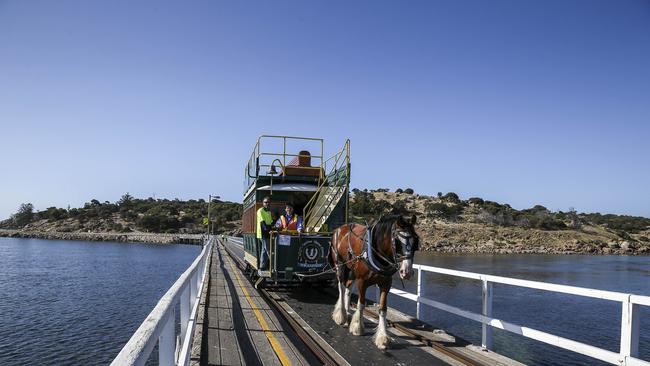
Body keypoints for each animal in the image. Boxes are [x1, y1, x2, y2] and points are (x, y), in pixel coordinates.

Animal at [326, 216, 418, 350]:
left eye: (415, 240)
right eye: (397, 241)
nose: (407, 272)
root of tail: (339, 228)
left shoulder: (386, 284)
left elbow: (383, 309)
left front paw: (382, 337)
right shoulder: (362, 281)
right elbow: (361, 304)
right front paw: (357, 327)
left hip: (351, 270)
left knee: (348, 288)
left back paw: (347, 313)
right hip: (340, 266)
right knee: (341, 288)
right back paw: (341, 315)